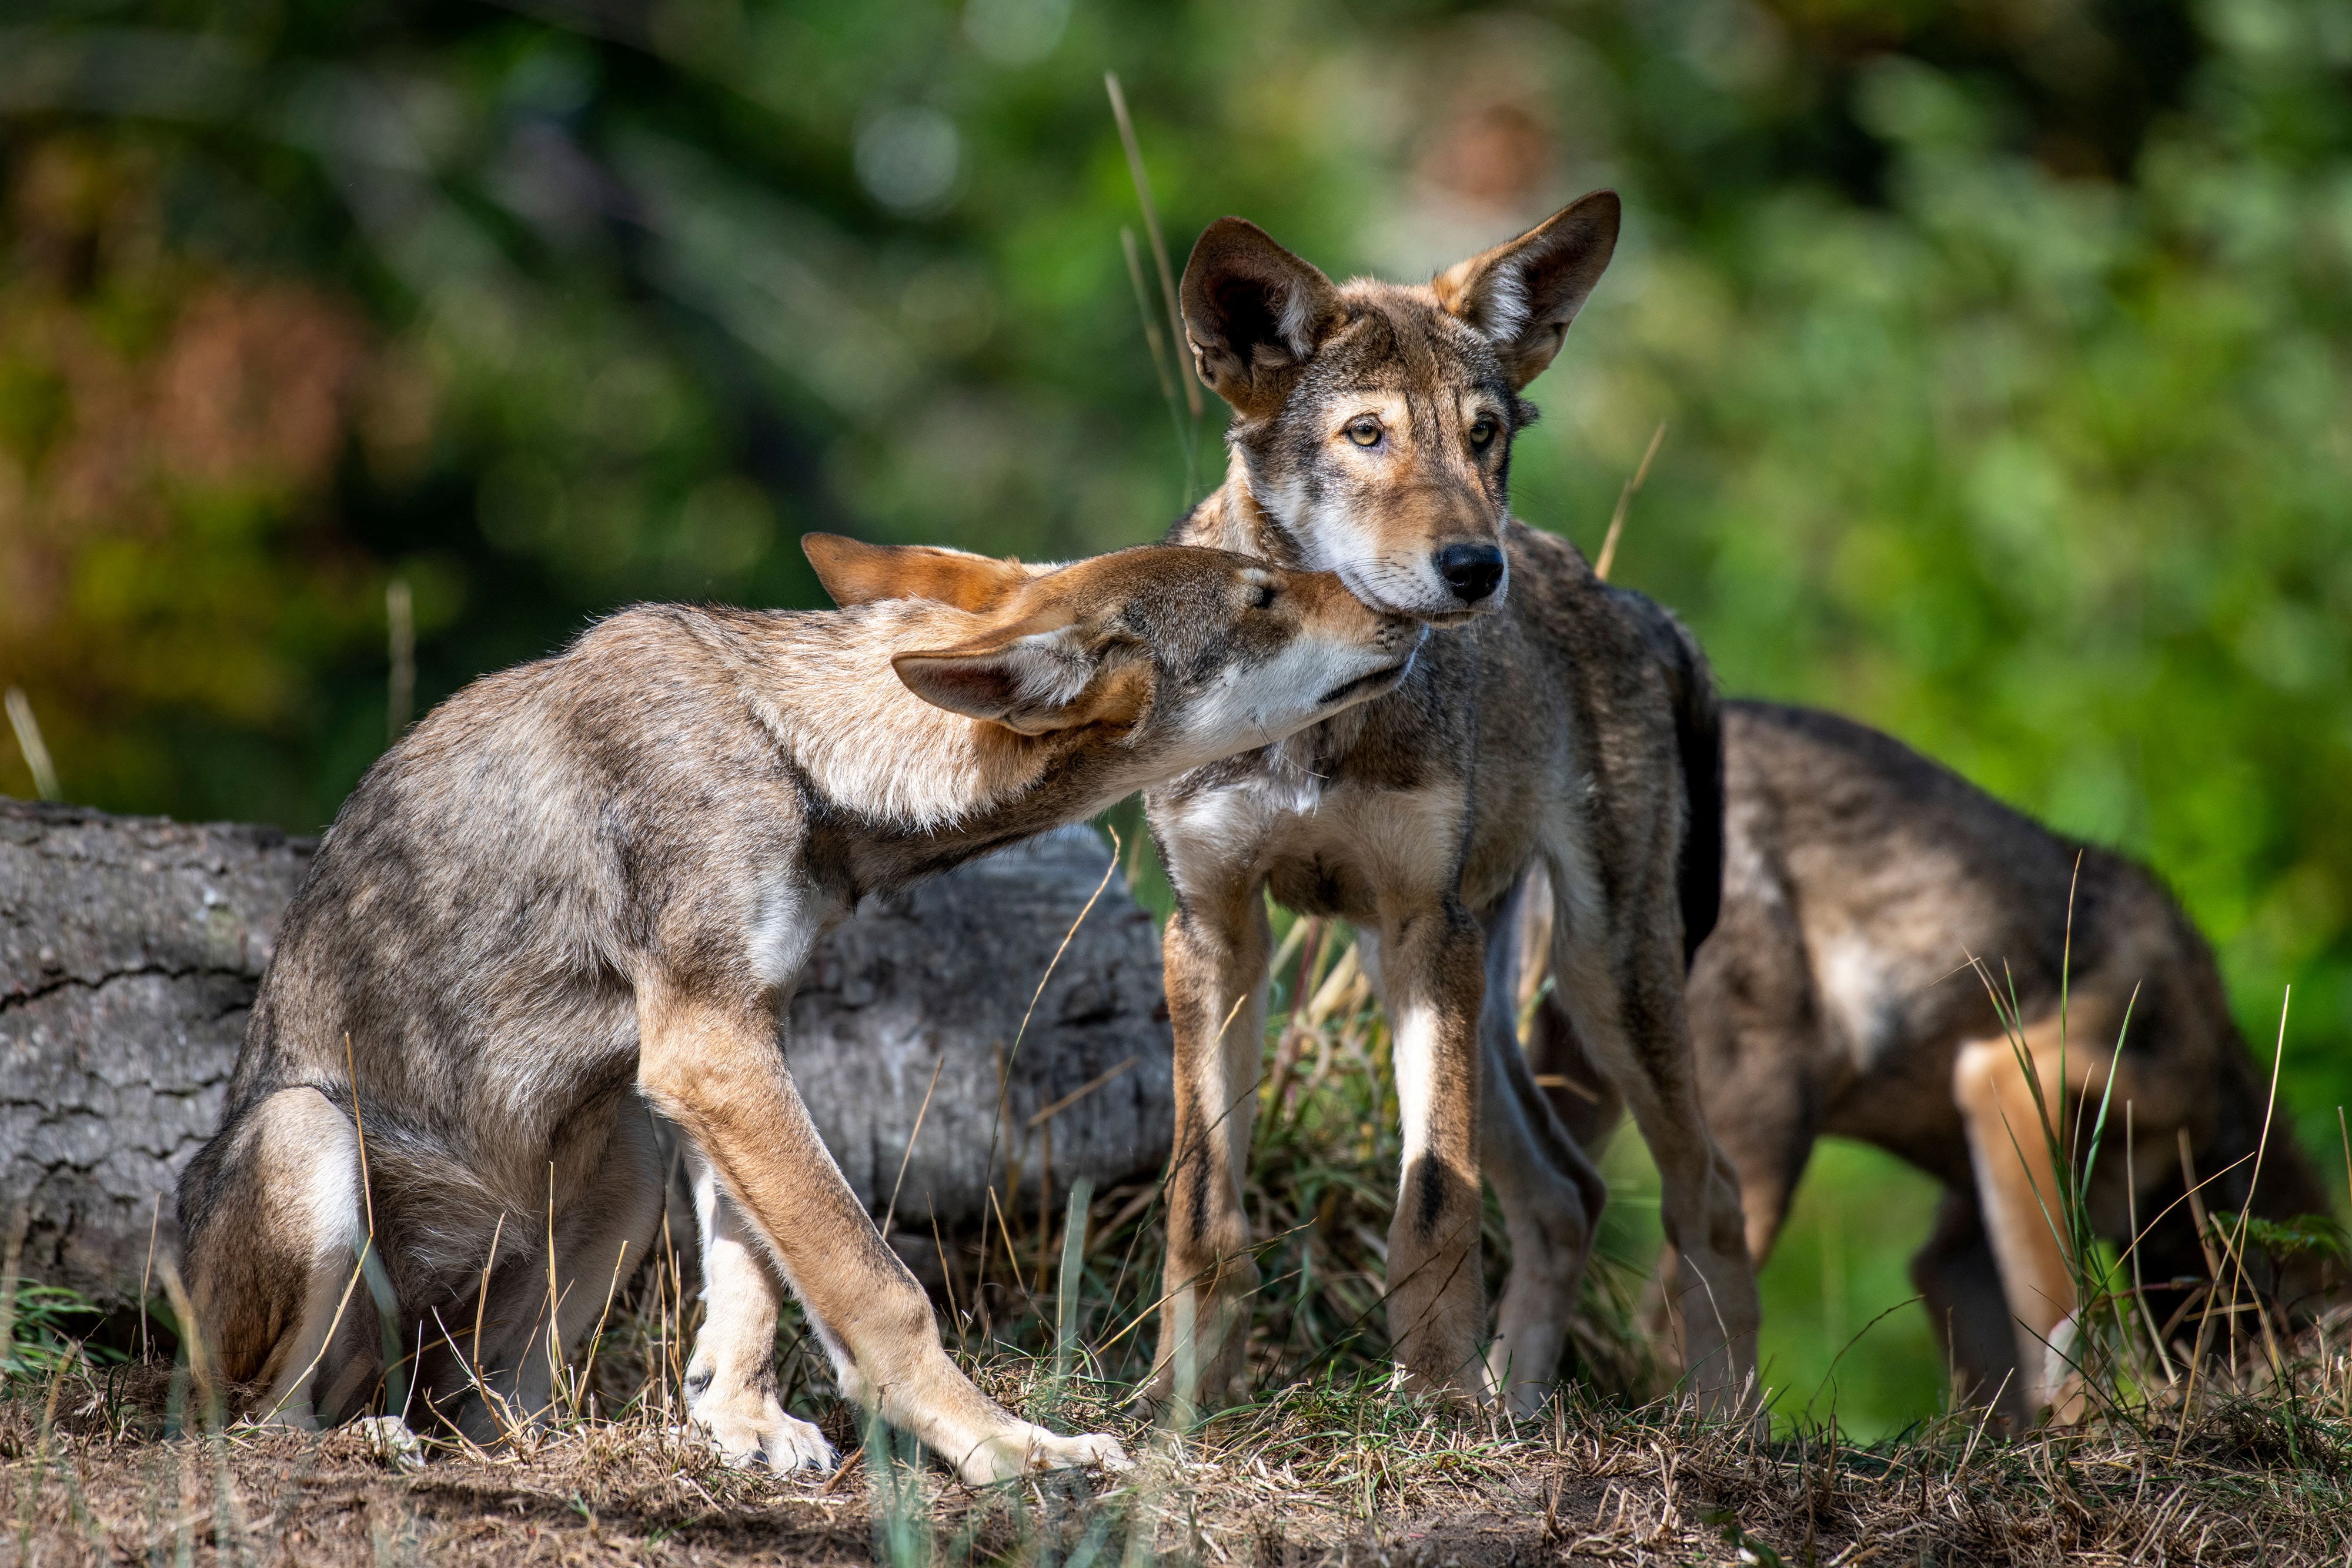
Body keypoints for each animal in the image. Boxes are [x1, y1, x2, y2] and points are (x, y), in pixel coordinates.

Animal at [179, 540, 1411, 1486]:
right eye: (1263, 594)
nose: (1430, 596)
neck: (791, 747)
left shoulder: (733, 1043)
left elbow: (755, 1281)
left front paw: (740, 1421)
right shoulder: (713, 1048)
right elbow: (879, 1286)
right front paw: (1010, 1447)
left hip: (619, 1174)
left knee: (485, 1407)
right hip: (311, 1138)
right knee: (260, 1422)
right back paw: (361, 1444)